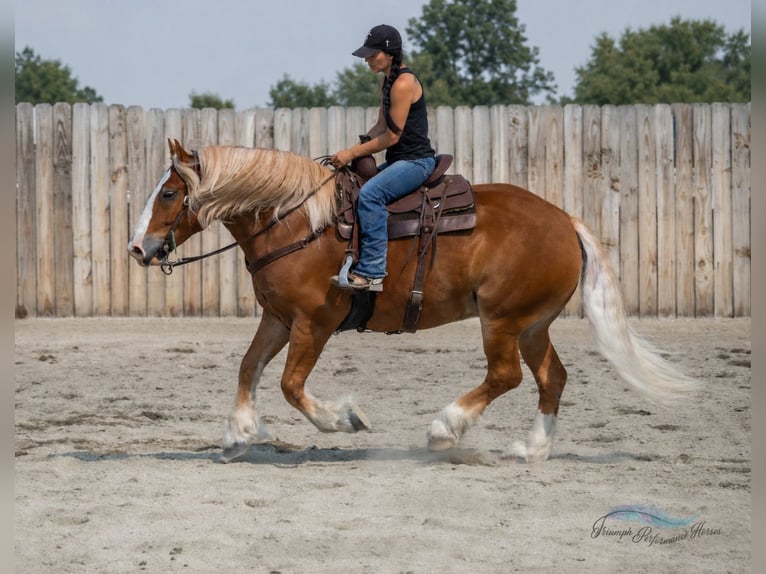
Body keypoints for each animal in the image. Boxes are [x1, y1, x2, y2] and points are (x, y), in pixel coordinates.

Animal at [128, 139, 696, 463]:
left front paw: (346, 419)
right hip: (533, 325)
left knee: (505, 376)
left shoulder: (314, 322)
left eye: (170, 194)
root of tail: (564, 220)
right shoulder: (278, 318)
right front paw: (240, 432)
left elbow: (291, 385)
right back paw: (532, 448)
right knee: (551, 377)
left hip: (502, 319)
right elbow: (249, 367)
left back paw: (444, 429)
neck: (297, 221)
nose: (138, 248)